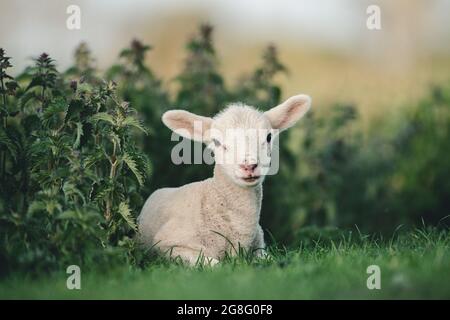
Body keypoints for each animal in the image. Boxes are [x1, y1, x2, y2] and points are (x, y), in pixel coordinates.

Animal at [139, 93, 312, 264]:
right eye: (216, 142)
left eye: (269, 137)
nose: (249, 166)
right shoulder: (168, 245)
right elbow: (215, 265)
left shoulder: (260, 249)